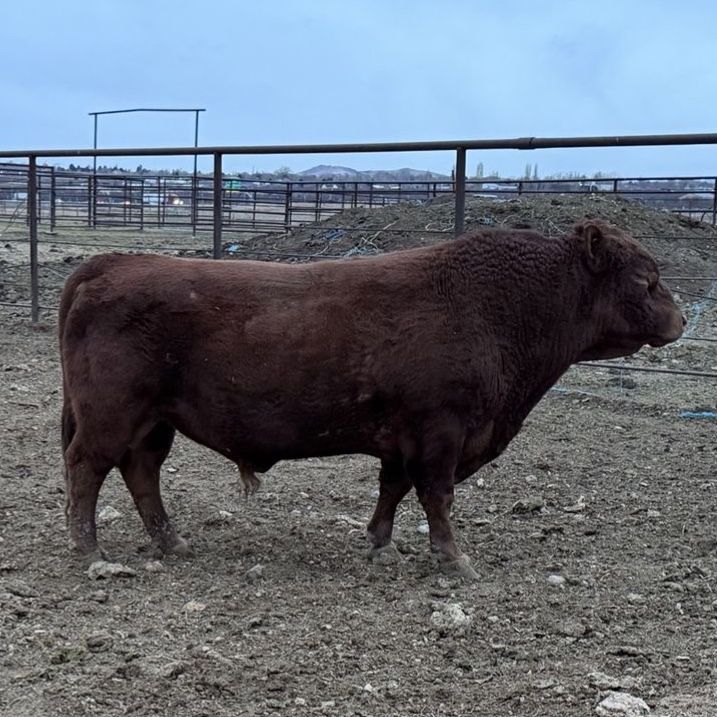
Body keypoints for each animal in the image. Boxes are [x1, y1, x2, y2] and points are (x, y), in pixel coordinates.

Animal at [59, 219, 684, 579]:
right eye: (645, 279)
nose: (679, 321)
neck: (500, 307)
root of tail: (110, 263)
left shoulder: (404, 439)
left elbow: (395, 489)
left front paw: (379, 545)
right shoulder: (441, 432)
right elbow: (436, 495)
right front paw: (454, 559)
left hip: (152, 423)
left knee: (141, 473)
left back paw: (173, 543)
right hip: (111, 415)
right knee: (87, 468)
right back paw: (91, 554)